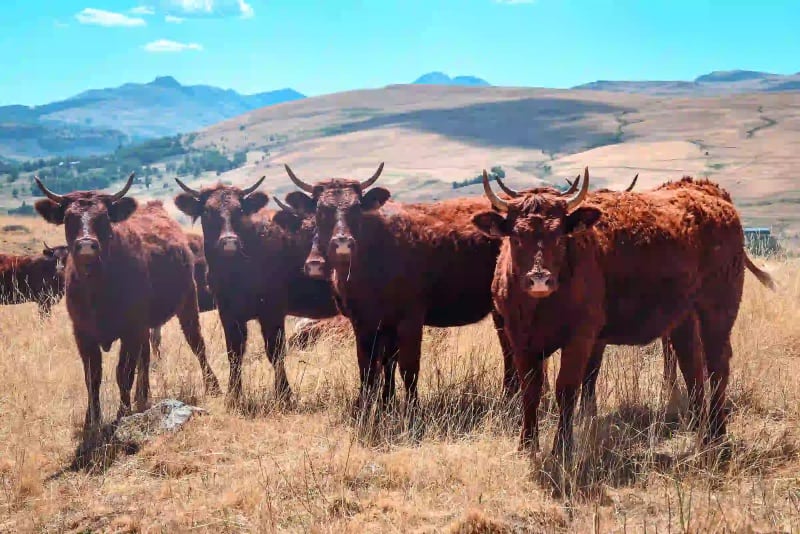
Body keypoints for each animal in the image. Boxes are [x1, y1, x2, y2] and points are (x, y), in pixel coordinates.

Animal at [33, 173, 220, 429]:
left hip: (187, 304)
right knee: (147, 356)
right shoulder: (82, 333)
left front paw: (123, 413)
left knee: (197, 344)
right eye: (68, 218)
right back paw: (143, 396)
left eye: (104, 218)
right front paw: (91, 419)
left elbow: (123, 373)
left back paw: (212, 386)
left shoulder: (130, 330)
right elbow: (92, 376)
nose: (86, 245)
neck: (97, 287)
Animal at [172, 177, 340, 404]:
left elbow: (275, 351)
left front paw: (284, 394)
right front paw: (233, 395)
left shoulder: (272, 310)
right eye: (207, 211)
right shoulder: (228, 313)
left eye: (240, 210)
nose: (229, 241)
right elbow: (234, 352)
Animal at [472, 168, 774, 459]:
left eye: (559, 236)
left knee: (717, 368)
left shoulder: (581, 338)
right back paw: (701, 432)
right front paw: (526, 445)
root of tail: (715, 199)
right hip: (684, 320)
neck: (540, 307)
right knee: (693, 368)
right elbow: (530, 391)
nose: (539, 279)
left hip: (718, 312)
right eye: (516, 236)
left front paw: (563, 448)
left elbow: (567, 389)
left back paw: (718, 436)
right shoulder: (520, 340)